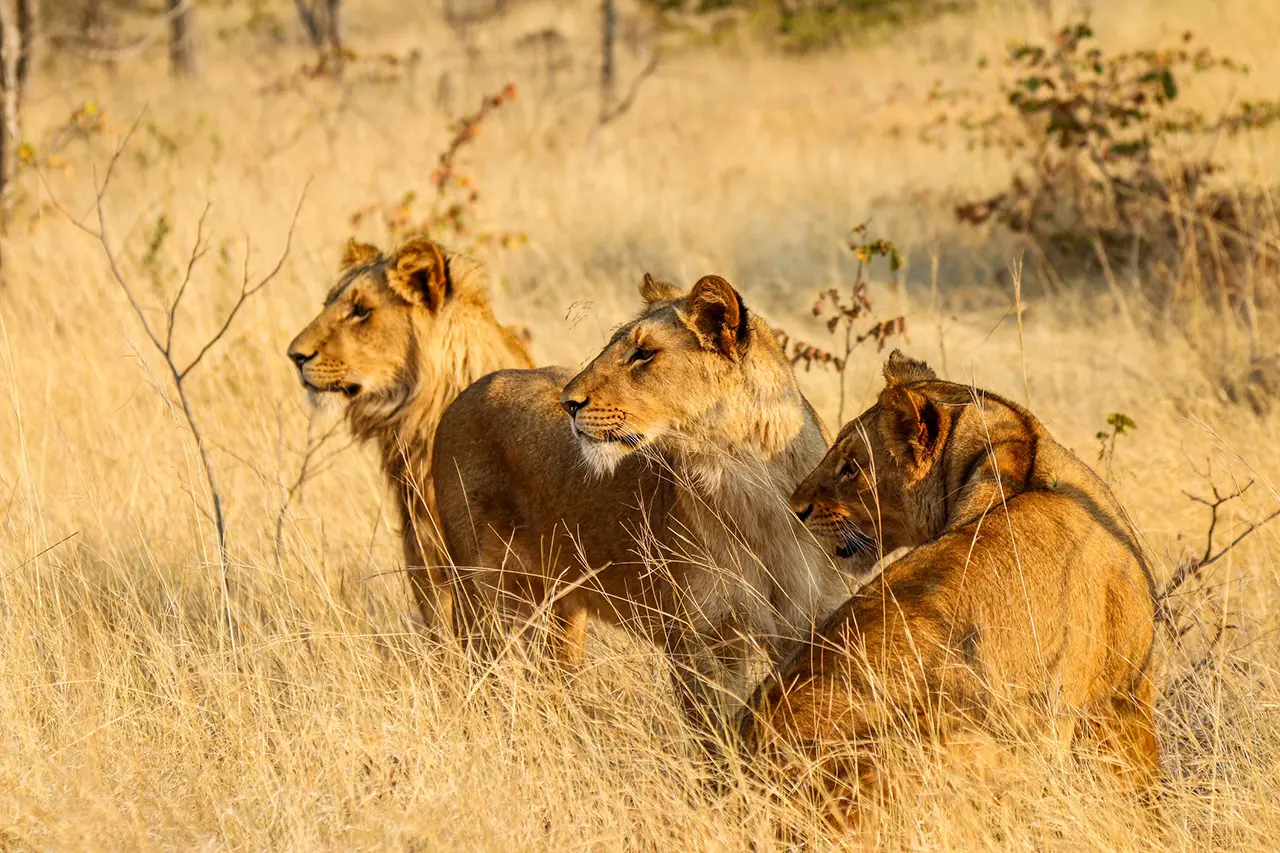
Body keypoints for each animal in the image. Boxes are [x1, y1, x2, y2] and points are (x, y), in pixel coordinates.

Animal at [430, 274, 860, 737]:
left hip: (562, 601)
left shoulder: (812, 625)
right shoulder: (702, 642)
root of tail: (473, 387)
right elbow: (714, 735)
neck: (747, 485)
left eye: (643, 354)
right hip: (482, 593)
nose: (568, 403)